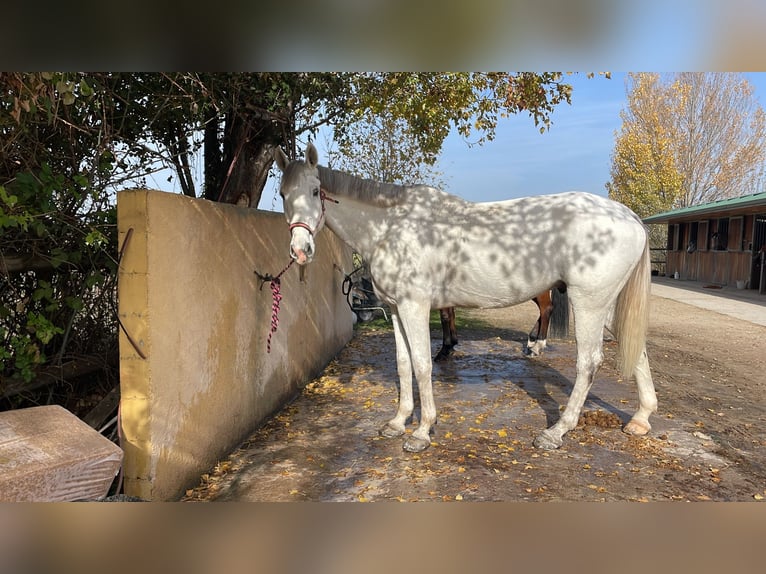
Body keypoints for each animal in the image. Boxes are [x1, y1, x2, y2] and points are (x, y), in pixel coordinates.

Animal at [436, 286, 568, 362]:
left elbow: (445, 316)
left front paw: (444, 350)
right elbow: (451, 315)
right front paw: (451, 346)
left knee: (547, 308)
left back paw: (537, 345)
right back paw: (532, 342)